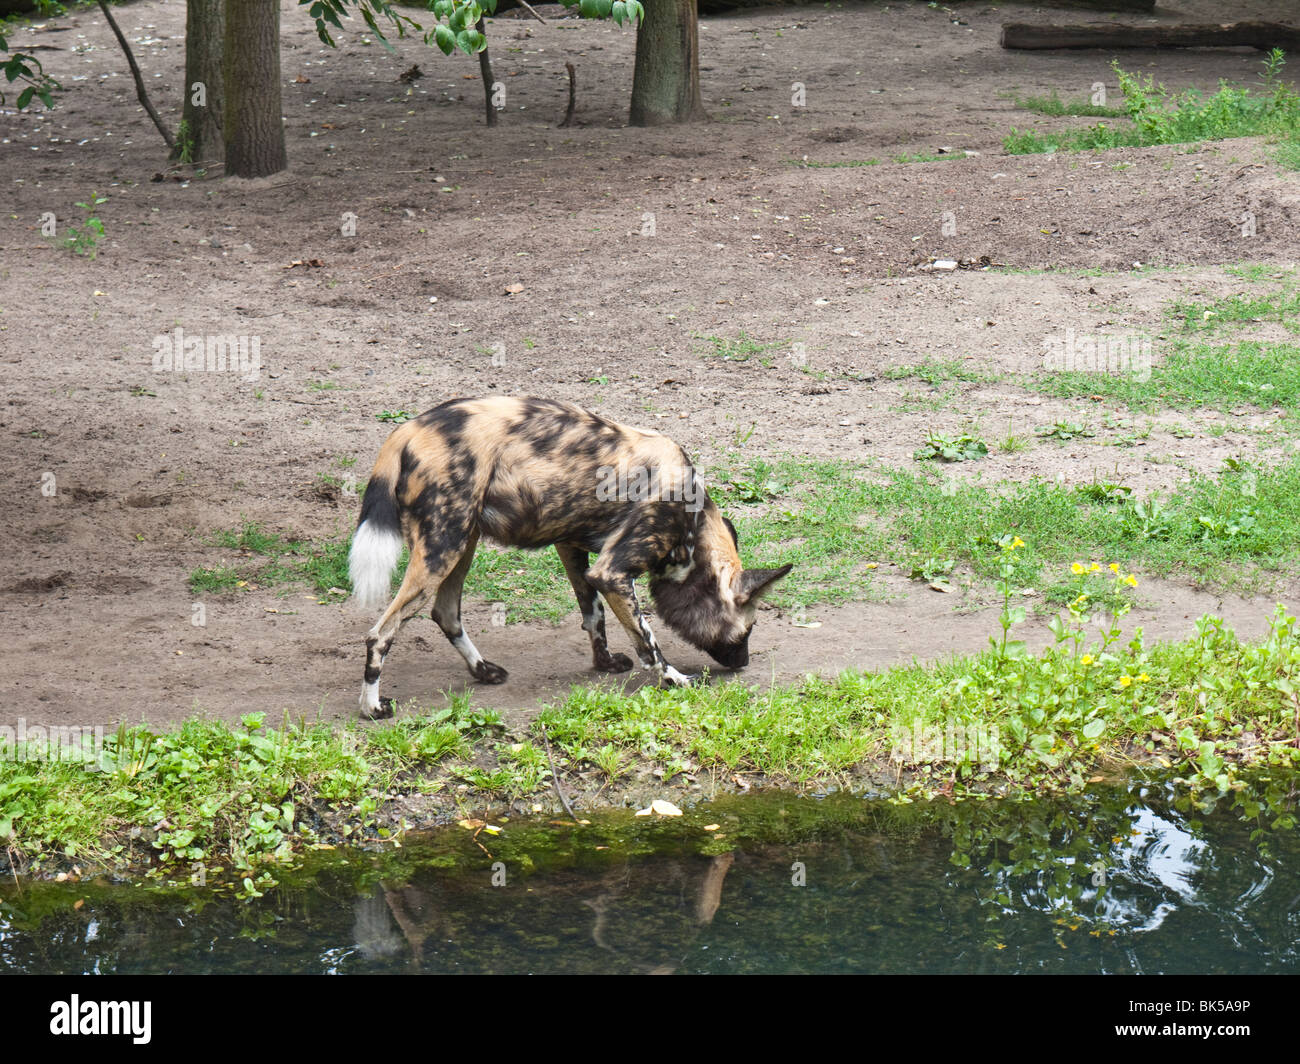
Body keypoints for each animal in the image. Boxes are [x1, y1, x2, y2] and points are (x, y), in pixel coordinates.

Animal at [348, 398, 790, 723]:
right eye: (749, 629)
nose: (743, 663)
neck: (694, 527)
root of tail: (407, 429)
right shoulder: (612, 571)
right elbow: (648, 642)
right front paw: (674, 679)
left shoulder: (575, 551)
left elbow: (593, 616)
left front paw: (605, 663)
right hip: (443, 550)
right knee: (380, 633)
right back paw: (372, 706)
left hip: (461, 545)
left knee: (446, 613)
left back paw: (484, 670)